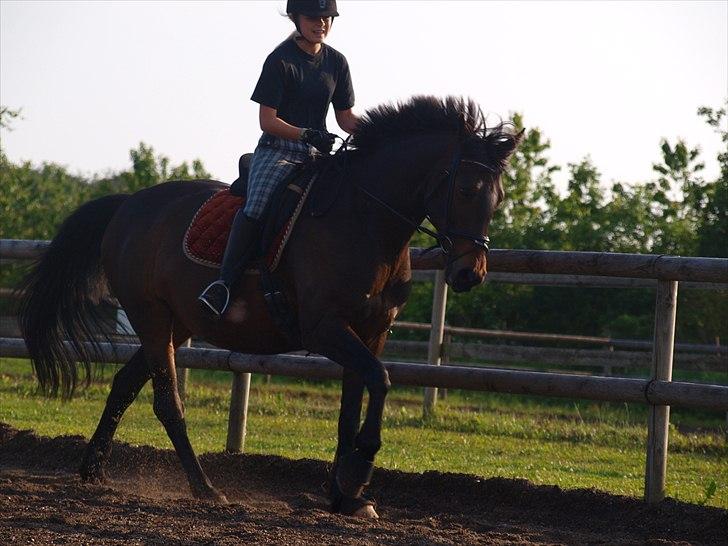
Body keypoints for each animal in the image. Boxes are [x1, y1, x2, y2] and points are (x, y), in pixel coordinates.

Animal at [17, 95, 516, 516]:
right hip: (152, 317)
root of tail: (128, 205)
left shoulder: (371, 332)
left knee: (125, 384)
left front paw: (345, 496)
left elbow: (352, 407)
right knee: (167, 403)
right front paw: (358, 476)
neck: (365, 222)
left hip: (176, 325)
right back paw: (205, 487)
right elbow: (382, 381)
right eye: (467, 190)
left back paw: (94, 469)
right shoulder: (325, 329)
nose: (470, 273)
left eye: (499, 197)